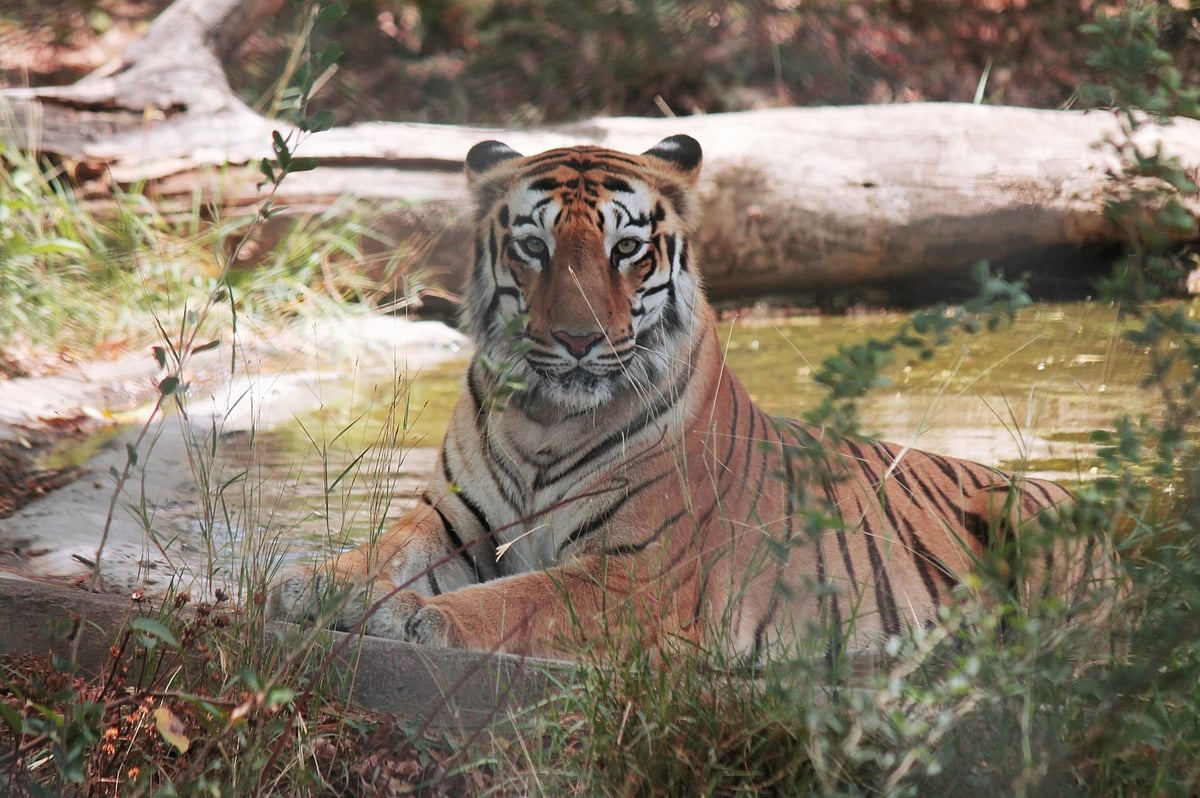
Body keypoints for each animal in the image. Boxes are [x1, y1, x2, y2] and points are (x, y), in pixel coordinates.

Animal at [269, 134, 1110, 662]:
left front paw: (419, 616)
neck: (545, 419)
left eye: (626, 251)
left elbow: (521, 598)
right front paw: (308, 585)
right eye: (535, 247)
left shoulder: (638, 573)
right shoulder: (455, 522)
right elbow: (379, 552)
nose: (577, 340)